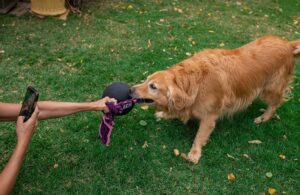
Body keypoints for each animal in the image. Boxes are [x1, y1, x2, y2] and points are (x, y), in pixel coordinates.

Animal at [131, 35, 300, 164]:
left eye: (153, 86)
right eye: (146, 80)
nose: (131, 89)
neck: (195, 82)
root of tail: (287, 43)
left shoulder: (209, 116)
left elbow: (199, 135)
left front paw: (194, 153)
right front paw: (165, 114)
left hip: (269, 88)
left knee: (276, 102)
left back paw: (264, 117)